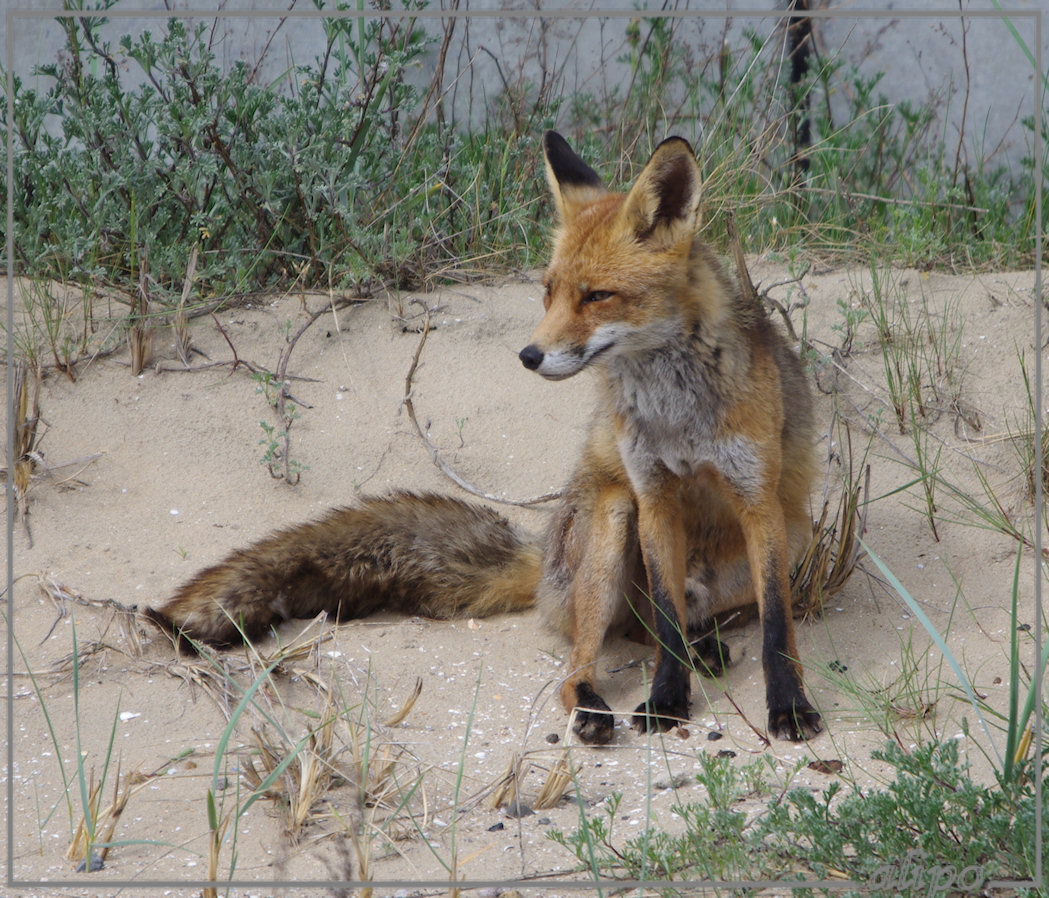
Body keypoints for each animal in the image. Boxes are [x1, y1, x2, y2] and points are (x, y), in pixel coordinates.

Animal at [145, 131, 818, 742]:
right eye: (548, 292)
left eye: (598, 296)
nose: (528, 355)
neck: (678, 413)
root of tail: (545, 559)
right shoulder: (652, 496)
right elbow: (669, 626)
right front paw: (667, 701)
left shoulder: (756, 500)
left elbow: (777, 629)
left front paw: (788, 706)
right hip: (612, 520)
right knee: (594, 653)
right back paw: (595, 705)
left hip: (778, 545)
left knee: (666, 623)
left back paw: (705, 649)